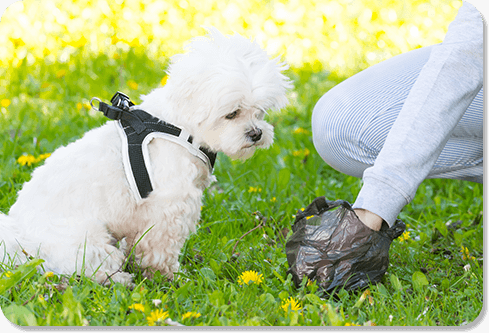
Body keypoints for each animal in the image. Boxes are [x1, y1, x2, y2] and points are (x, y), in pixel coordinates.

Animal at [0, 27, 290, 284]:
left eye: (260, 111)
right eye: (232, 113)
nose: (256, 133)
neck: (179, 127)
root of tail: (20, 238)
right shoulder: (169, 207)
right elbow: (159, 249)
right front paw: (168, 276)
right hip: (87, 240)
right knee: (93, 266)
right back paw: (119, 279)